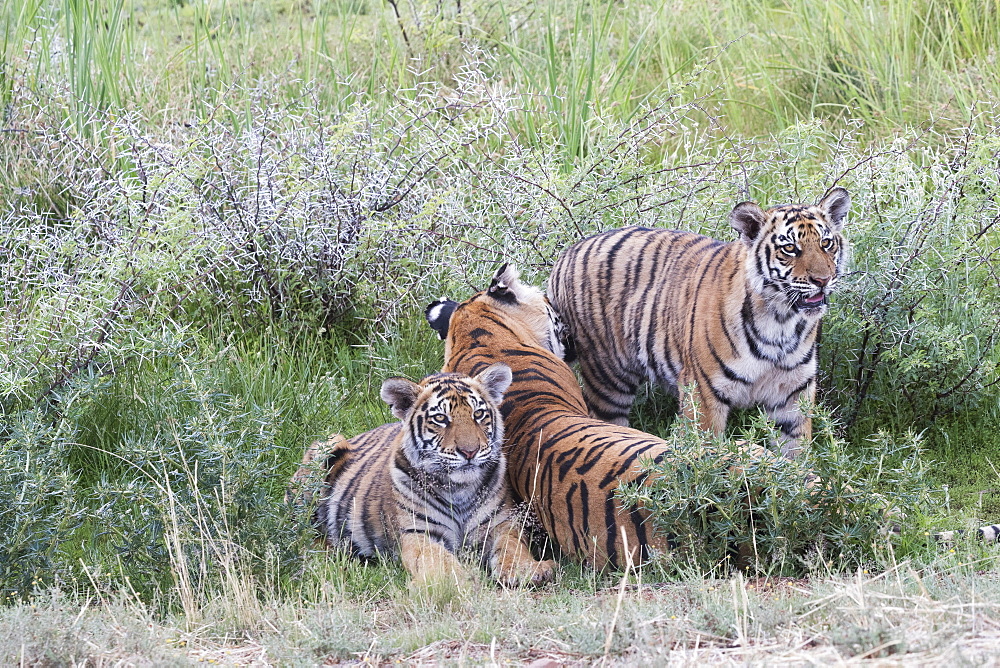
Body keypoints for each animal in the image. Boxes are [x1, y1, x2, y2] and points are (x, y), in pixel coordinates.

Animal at [288, 362, 556, 588]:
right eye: (440, 418)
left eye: (478, 414)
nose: (470, 451)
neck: (460, 490)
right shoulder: (418, 533)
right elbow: (438, 559)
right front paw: (456, 580)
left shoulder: (501, 524)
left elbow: (513, 547)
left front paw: (528, 570)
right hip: (325, 447)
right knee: (302, 536)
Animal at [548, 188, 852, 460]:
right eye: (790, 248)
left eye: (826, 244)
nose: (823, 280)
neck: (782, 322)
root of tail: (567, 253)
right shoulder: (704, 392)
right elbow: (705, 453)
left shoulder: (793, 392)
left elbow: (797, 454)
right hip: (608, 380)